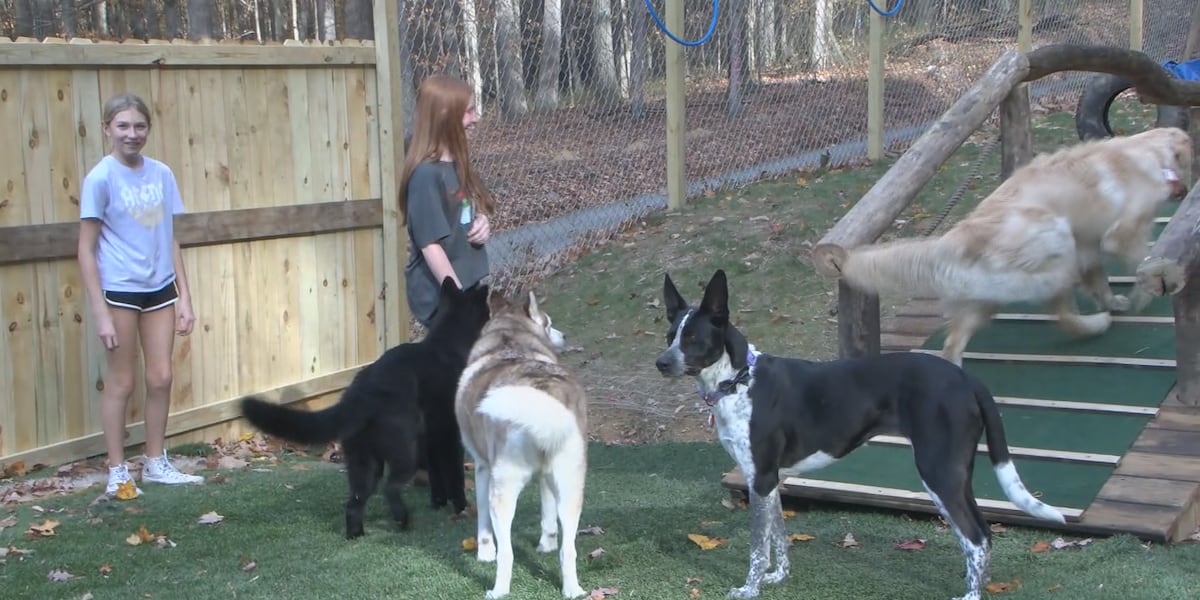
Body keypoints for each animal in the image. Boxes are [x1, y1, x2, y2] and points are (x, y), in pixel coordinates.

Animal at [241, 278, 489, 537]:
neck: (446, 343)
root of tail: (361, 393)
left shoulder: (431, 441)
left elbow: (438, 478)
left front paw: (438, 503)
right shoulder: (451, 437)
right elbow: (455, 477)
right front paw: (461, 508)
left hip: (364, 462)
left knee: (354, 503)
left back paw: (356, 535)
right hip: (403, 452)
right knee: (390, 488)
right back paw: (402, 520)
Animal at [453, 289, 590, 595]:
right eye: (549, 323)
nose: (565, 336)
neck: (510, 342)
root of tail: (543, 390)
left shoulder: (482, 468)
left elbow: (483, 525)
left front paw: (484, 554)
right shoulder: (546, 479)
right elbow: (548, 517)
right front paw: (546, 545)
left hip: (502, 491)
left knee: (508, 553)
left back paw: (498, 591)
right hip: (571, 489)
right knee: (569, 549)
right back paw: (572, 590)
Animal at [657, 271, 1070, 600]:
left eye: (692, 338)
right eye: (669, 335)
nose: (661, 362)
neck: (740, 379)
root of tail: (966, 378)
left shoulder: (759, 479)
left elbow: (757, 547)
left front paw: (749, 589)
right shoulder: (768, 481)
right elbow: (778, 537)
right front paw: (779, 577)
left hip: (939, 472)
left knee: (978, 537)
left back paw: (970, 595)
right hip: (955, 474)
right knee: (980, 535)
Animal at [825, 126, 1190, 364]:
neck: (1141, 152)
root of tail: (955, 238)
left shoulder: (1090, 248)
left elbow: (1100, 282)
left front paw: (1117, 301)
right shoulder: (1121, 232)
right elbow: (1143, 258)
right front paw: (1142, 295)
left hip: (985, 295)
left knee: (954, 343)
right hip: (1056, 238)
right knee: (1063, 314)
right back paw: (1097, 324)